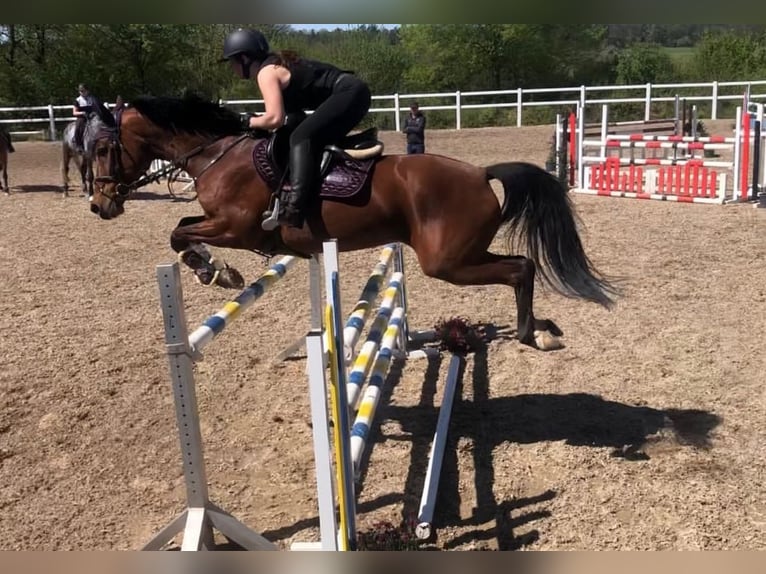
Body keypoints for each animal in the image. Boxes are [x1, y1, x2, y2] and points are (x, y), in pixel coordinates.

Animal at [90, 94, 620, 352]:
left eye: (101, 147)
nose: (99, 204)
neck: (217, 153)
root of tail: (479, 173)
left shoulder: (235, 228)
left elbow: (178, 232)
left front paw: (216, 271)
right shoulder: (219, 221)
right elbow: (181, 224)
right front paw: (213, 268)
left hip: (448, 262)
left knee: (520, 269)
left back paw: (534, 333)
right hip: (463, 254)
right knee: (520, 265)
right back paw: (541, 327)